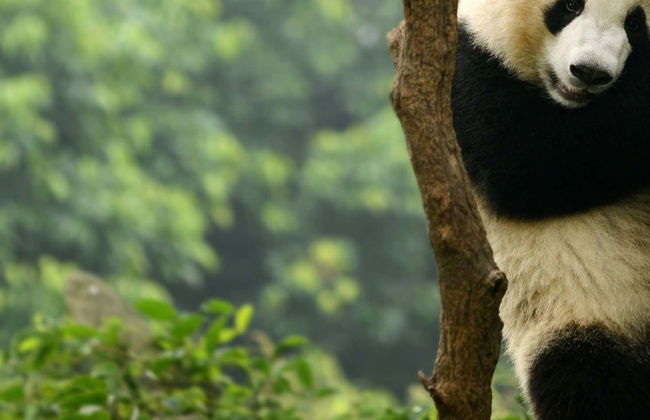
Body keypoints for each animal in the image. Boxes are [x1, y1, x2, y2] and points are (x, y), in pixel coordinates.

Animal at [453, 0, 650, 418]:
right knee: (589, 380)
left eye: (636, 22)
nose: (589, 72)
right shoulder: (472, 61)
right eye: (571, 6)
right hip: (584, 314)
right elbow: (524, 160)